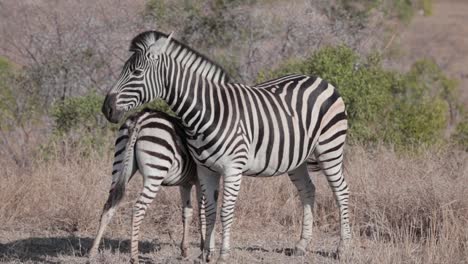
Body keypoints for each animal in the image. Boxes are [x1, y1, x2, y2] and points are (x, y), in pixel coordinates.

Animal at [88, 108, 205, 262]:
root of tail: (141, 118)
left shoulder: (185, 184)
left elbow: (187, 212)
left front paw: (185, 250)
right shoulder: (201, 180)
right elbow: (204, 213)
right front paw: (205, 250)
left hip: (120, 164)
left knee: (109, 204)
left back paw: (92, 253)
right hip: (155, 171)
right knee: (138, 208)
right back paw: (134, 257)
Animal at [101, 30, 352, 262]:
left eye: (136, 72)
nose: (107, 109)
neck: (208, 111)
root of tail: (321, 80)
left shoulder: (233, 168)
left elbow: (225, 211)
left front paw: (223, 254)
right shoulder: (205, 169)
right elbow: (210, 211)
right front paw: (206, 254)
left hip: (329, 149)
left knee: (341, 191)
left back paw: (343, 249)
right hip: (297, 159)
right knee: (308, 191)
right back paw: (301, 245)